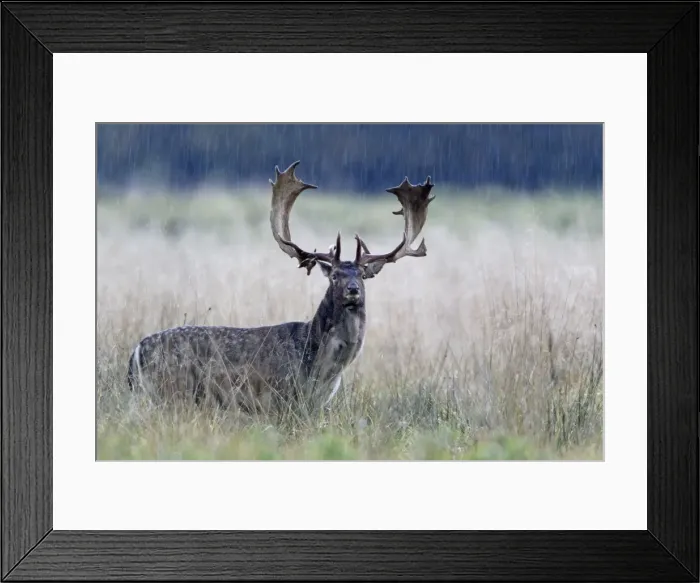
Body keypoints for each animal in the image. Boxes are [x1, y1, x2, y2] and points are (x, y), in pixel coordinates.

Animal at [126, 161, 435, 418]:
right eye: (334, 275)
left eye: (361, 274)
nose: (352, 290)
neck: (322, 368)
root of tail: (137, 351)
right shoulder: (283, 397)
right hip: (171, 390)